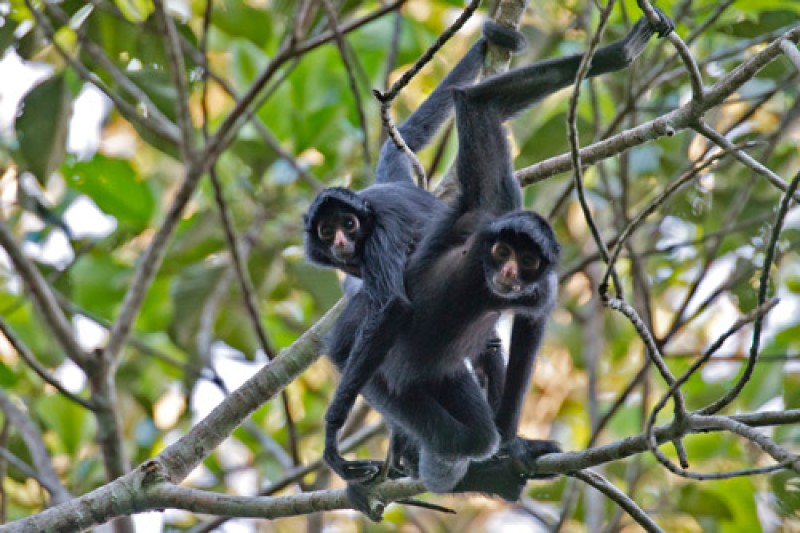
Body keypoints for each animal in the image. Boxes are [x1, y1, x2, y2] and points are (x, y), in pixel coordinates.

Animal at [322, 9, 672, 512]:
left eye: (526, 261)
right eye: (503, 253)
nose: (507, 272)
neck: (479, 279)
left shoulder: (534, 281)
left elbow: (534, 322)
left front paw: (514, 444)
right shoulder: (480, 213)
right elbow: (475, 105)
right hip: (387, 378)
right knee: (459, 434)